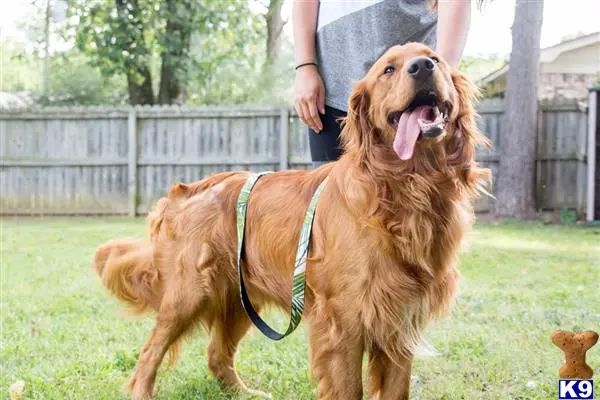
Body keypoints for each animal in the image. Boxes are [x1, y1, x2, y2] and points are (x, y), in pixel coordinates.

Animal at [91, 42, 490, 398]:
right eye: (388, 69)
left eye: (436, 58)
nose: (422, 67)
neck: (406, 188)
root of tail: (187, 189)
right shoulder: (344, 321)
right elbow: (349, 388)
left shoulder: (400, 322)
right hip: (188, 294)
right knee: (150, 352)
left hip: (239, 298)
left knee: (216, 354)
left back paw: (243, 392)